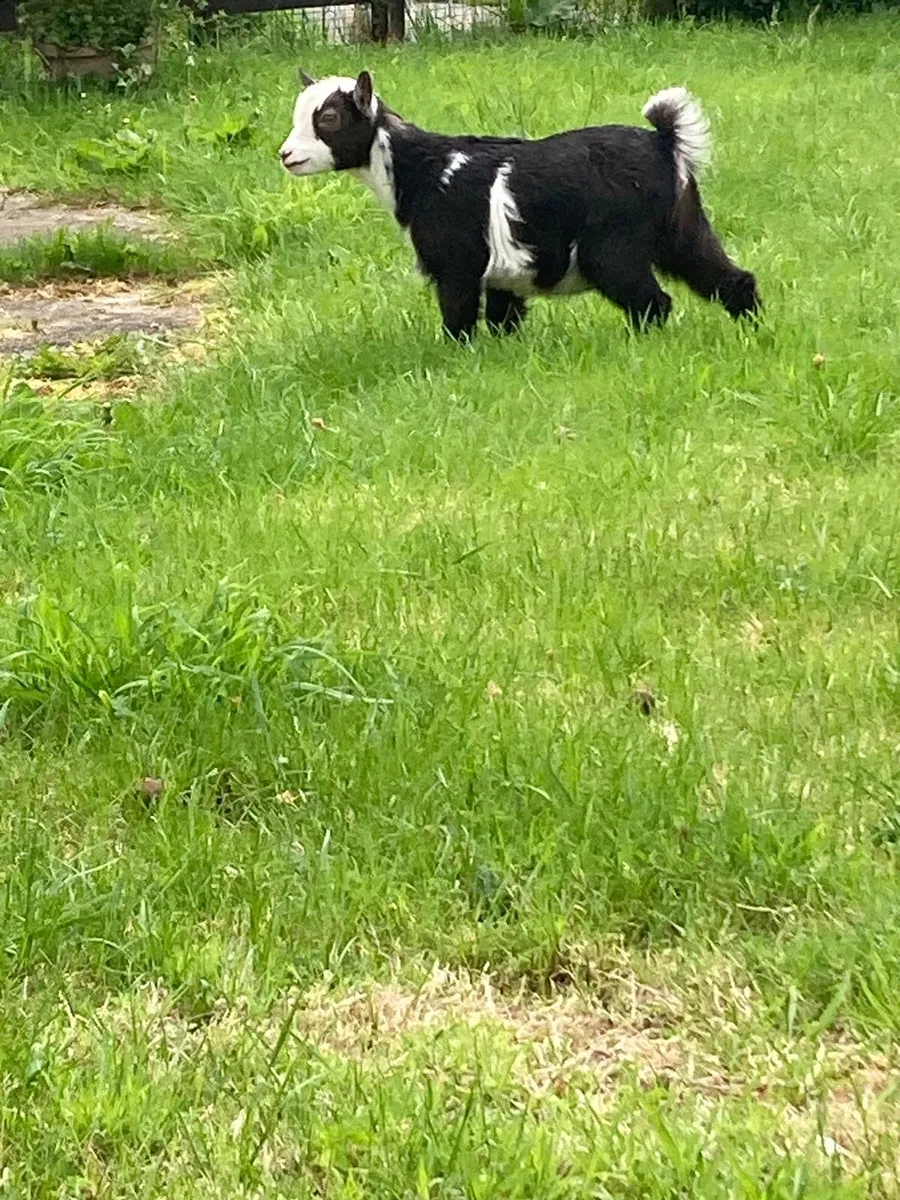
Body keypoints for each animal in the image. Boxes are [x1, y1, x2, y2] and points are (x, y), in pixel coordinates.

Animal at [279, 71, 760, 340]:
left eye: (328, 119)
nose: (286, 154)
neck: (422, 169)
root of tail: (665, 143)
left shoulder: (457, 265)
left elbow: (458, 319)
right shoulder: (503, 274)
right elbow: (502, 319)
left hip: (613, 248)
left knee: (653, 302)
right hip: (683, 227)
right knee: (729, 277)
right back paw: (753, 331)